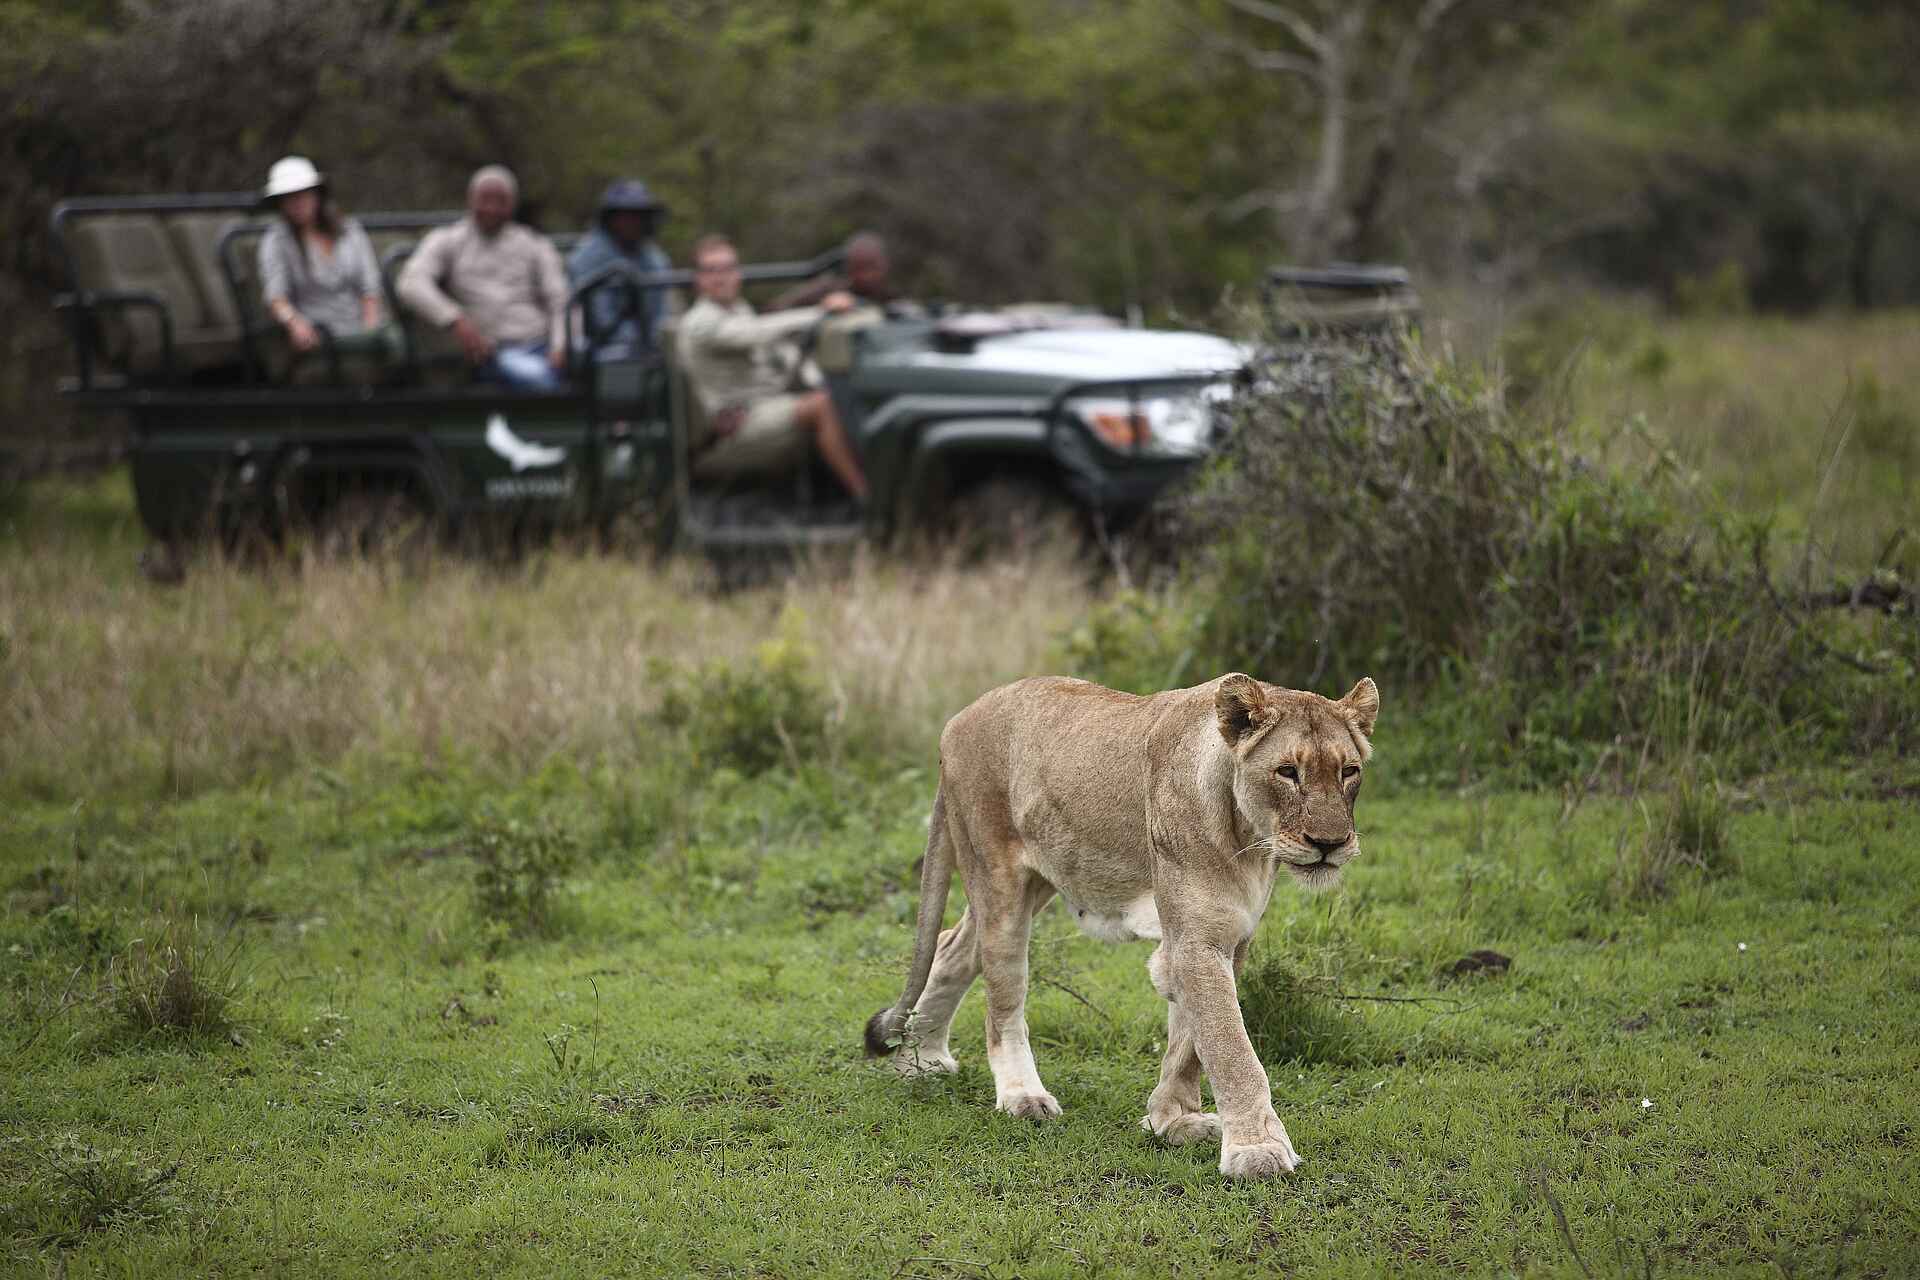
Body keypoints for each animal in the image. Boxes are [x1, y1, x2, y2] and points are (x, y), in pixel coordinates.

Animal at [864, 671, 1379, 1180]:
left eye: (1349, 772)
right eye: (1287, 772)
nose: (1330, 844)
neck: (1248, 835)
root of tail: (957, 720)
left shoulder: (1229, 935)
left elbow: (1189, 1044)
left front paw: (1174, 1120)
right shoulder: (1198, 939)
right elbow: (1230, 1048)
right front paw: (1258, 1151)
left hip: (1035, 879)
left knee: (950, 947)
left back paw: (921, 1061)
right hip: (998, 882)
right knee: (1002, 1003)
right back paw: (1021, 1096)